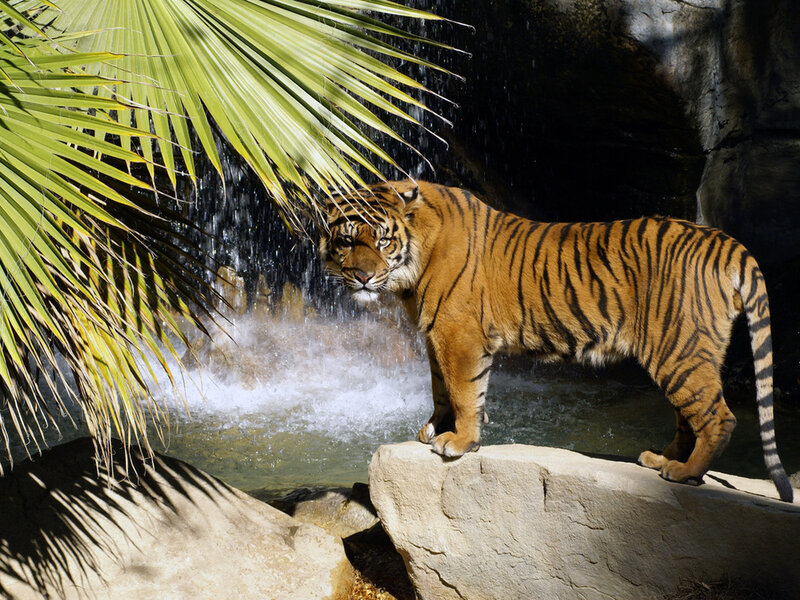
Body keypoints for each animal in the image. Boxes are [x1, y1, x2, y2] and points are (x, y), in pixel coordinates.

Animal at [319, 179, 794, 503]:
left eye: (383, 240)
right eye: (347, 240)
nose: (363, 277)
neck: (412, 268)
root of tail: (724, 240)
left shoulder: (458, 334)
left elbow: (464, 390)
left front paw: (459, 441)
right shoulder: (435, 335)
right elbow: (441, 389)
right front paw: (435, 427)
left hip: (679, 350)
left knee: (718, 418)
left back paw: (685, 473)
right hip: (685, 353)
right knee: (687, 417)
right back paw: (662, 460)